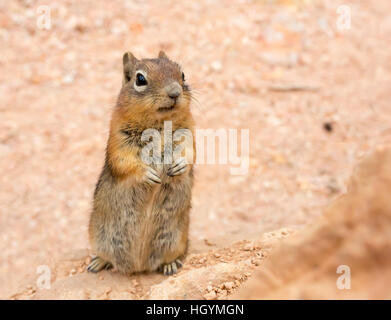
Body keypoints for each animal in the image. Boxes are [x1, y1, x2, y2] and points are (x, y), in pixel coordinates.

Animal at [87, 50, 194, 276]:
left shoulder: (188, 131)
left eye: (182, 74)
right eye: (140, 79)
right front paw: (148, 174)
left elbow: (191, 152)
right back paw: (98, 263)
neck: (159, 123)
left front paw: (180, 165)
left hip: (177, 239)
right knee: (105, 255)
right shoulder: (120, 139)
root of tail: (139, 266)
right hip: (97, 236)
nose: (175, 92)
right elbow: (123, 161)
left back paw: (170, 265)